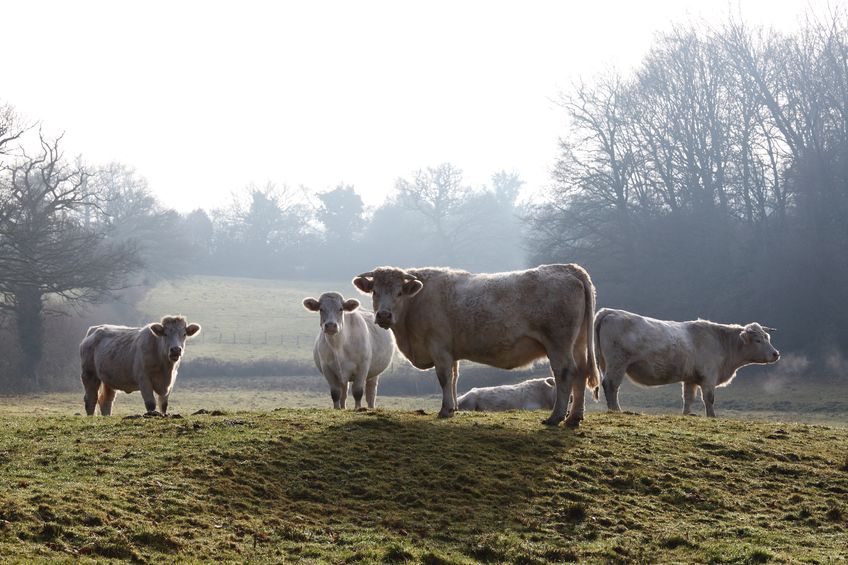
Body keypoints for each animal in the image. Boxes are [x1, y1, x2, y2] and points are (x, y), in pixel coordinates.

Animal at [352, 264, 604, 428]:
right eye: (374, 292)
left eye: (399, 292)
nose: (384, 315)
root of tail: (568, 268)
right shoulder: (451, 351)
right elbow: (454, 378)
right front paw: (454, 408)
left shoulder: (438, 347)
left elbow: (444, 377)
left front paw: (445, 410)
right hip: (578, 343)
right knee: (581, 373)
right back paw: (574, 418)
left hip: (559, 343)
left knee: (565, 373)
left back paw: (556, 417)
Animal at [592, 306, 780, 416]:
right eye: (758, 340)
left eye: (767, 337)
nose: (775, 353)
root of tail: (610, 311)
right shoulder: (709, 377)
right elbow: (709, 398)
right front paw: (712, 416)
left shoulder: (690, 379)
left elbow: (688, 398)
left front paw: (687, 414)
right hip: (617, 364)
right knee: (611, 385)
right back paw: (616, 409)